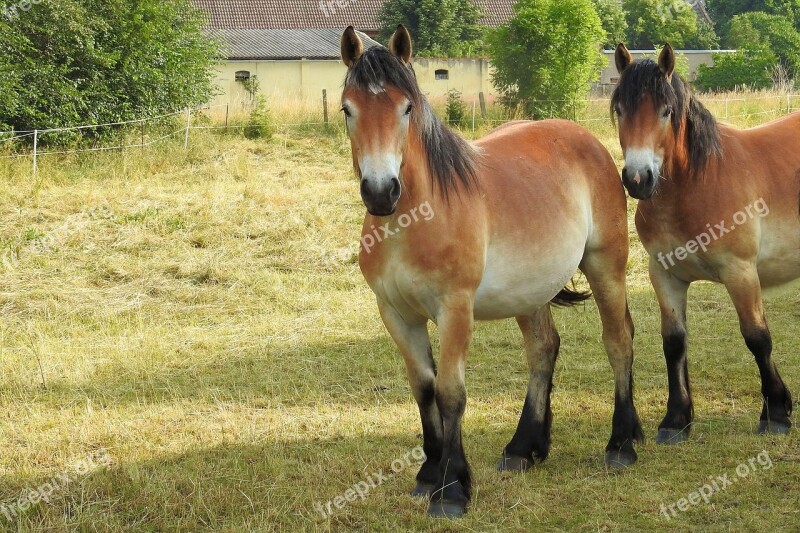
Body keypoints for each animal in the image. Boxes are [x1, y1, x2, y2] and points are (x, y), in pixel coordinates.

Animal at [340, 23, 644, 516]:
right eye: (348, 109)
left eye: (407, 107)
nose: (381, 192)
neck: (415, 219)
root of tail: (586, 140)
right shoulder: (396, 314)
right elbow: (423, 389)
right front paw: (429, 475)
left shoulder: (455, 310)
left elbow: (450, 393)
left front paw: (452, 489)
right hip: (530, 290)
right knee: (543, 348)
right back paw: (524, 448)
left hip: (606, 267)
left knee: (618, 341)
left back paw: (621, 444)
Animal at [612, 44, 792, 444]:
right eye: (619, 110)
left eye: (666, 111)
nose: (638, 179)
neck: (698, 184)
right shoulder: (665, 275)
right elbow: (674, 341)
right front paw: (676, 419)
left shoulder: (741, 273)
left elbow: (757, 337)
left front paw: (776, 412)